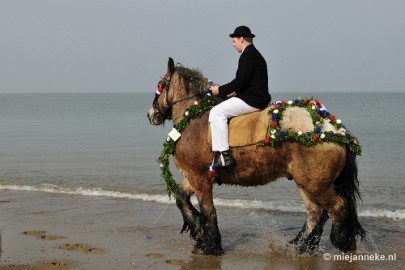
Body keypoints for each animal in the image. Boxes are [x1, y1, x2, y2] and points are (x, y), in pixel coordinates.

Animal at [147, 58, 364, 256]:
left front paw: (209, 245)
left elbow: (208, 210)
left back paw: (340, 240)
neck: (193, 116)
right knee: (315, 213)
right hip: (307, 183)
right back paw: (301, 247)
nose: (151, 114)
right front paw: (198, 230)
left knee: (337, 207)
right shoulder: (196, 176)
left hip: (316, 184)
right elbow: (181, 198)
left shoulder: (200, 178)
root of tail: (333, 130)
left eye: (160, 84)